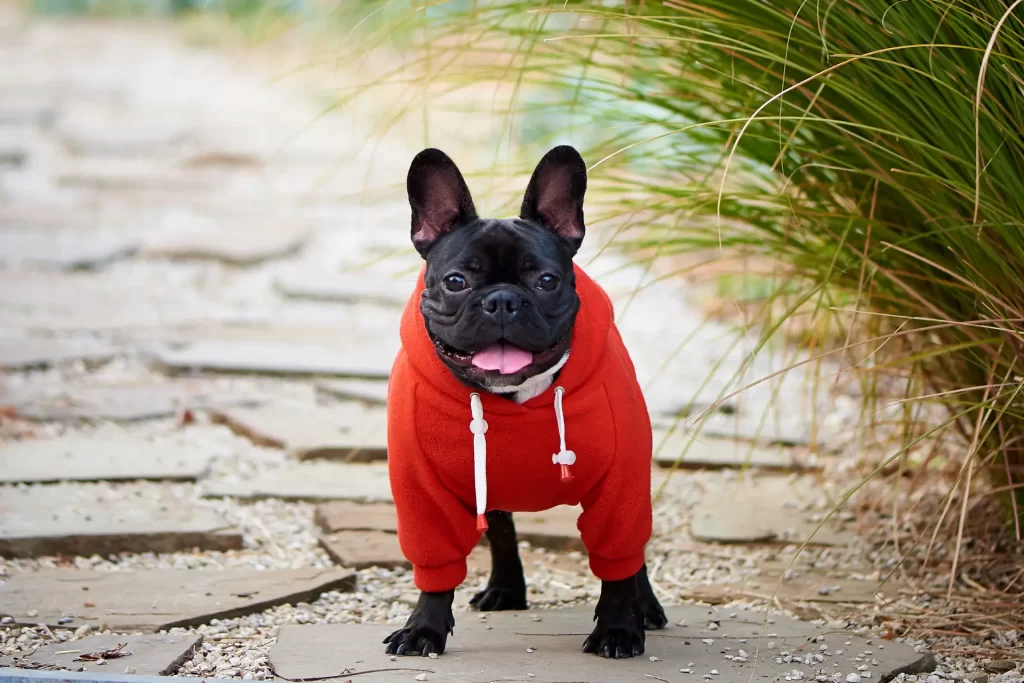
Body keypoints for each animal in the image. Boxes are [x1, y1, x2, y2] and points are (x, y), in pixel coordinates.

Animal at [382, 147, 663, 659]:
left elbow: (619, 559)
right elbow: (437, 562)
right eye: (456, 281)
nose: (502, 301)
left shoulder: (622, 485)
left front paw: (618, 629)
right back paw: (506, 590)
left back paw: (646, 608)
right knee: (502, 531)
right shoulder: (422, 493)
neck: (513, 397)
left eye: (547, 280)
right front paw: (423, 629)